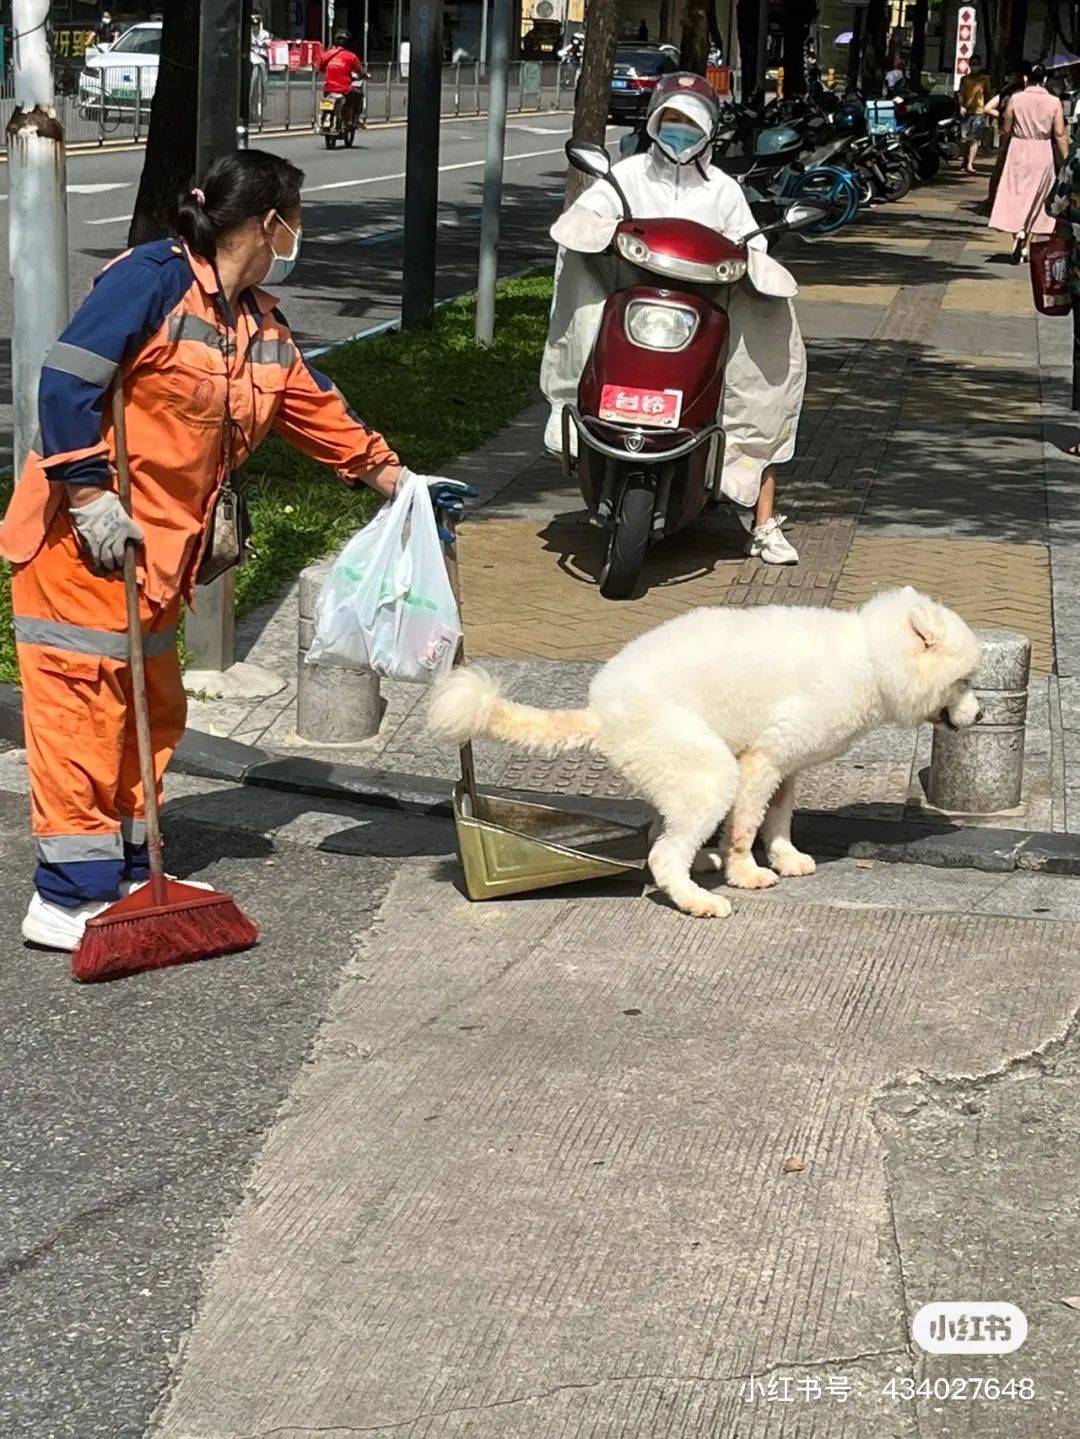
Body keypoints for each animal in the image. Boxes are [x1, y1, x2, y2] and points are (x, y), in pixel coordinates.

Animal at [425, 587, 983, 915]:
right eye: (965, 680)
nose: (979, 717)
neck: (869, 659)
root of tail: (601, 711)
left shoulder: (787, 763)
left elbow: (779, 820)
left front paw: (785, 858)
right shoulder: (761, 761)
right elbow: (747, 828)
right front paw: (747, 872)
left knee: (661, 832)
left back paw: (700, 864)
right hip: (707, 769)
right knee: (662, 850)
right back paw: (697, 899)